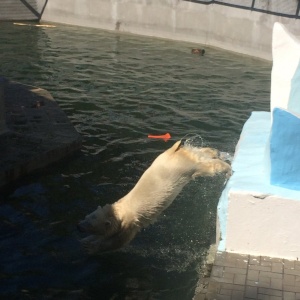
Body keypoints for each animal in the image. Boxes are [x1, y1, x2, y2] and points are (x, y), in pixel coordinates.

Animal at [77, 141, 230, 253]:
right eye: (86, 217)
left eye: (90, 224)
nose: (79, 227)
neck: (120, 210)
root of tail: (173, 152)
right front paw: (85, 241)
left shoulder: (130, 224)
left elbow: (118, 242)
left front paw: (92, 247)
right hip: (167, 158)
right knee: (201, 152)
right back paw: (216, 152)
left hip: (184, 168)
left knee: (208, 167)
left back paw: (227, 168)